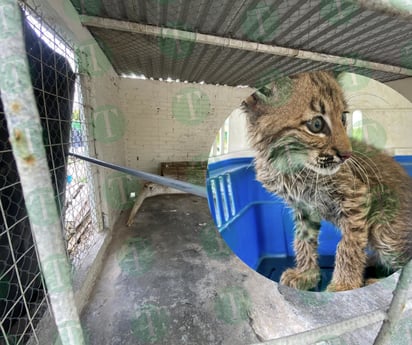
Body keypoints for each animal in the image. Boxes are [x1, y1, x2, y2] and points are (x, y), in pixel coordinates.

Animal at [243, 71, 410, 292]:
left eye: (343, 117)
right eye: (316, 124)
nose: (347, 155)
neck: (290, 165)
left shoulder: (356, 196)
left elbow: (348, 243)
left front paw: (343, 285)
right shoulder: (304, 206)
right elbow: (303, 239)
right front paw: (307, 274)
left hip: (384, 230)